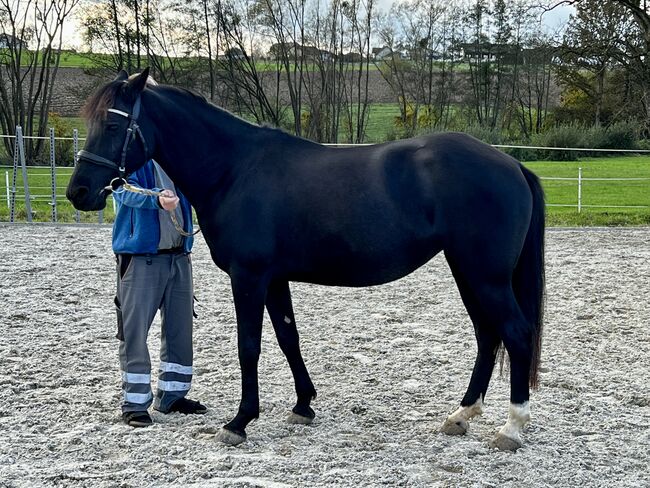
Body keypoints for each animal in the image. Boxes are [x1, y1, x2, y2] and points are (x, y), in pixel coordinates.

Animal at [67, 68, 540, 450]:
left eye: (114, 123)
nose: (78, 192)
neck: (234, 169)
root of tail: (511, 164)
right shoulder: (275, 279)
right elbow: (288, 338)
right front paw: (303, 406)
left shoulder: (249, 277)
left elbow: (249, 346)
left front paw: (239, 422)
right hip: (468, 272)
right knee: (486, 336)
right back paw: (461, 416)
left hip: (485, 276)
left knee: (514, 334)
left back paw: (512, 429)